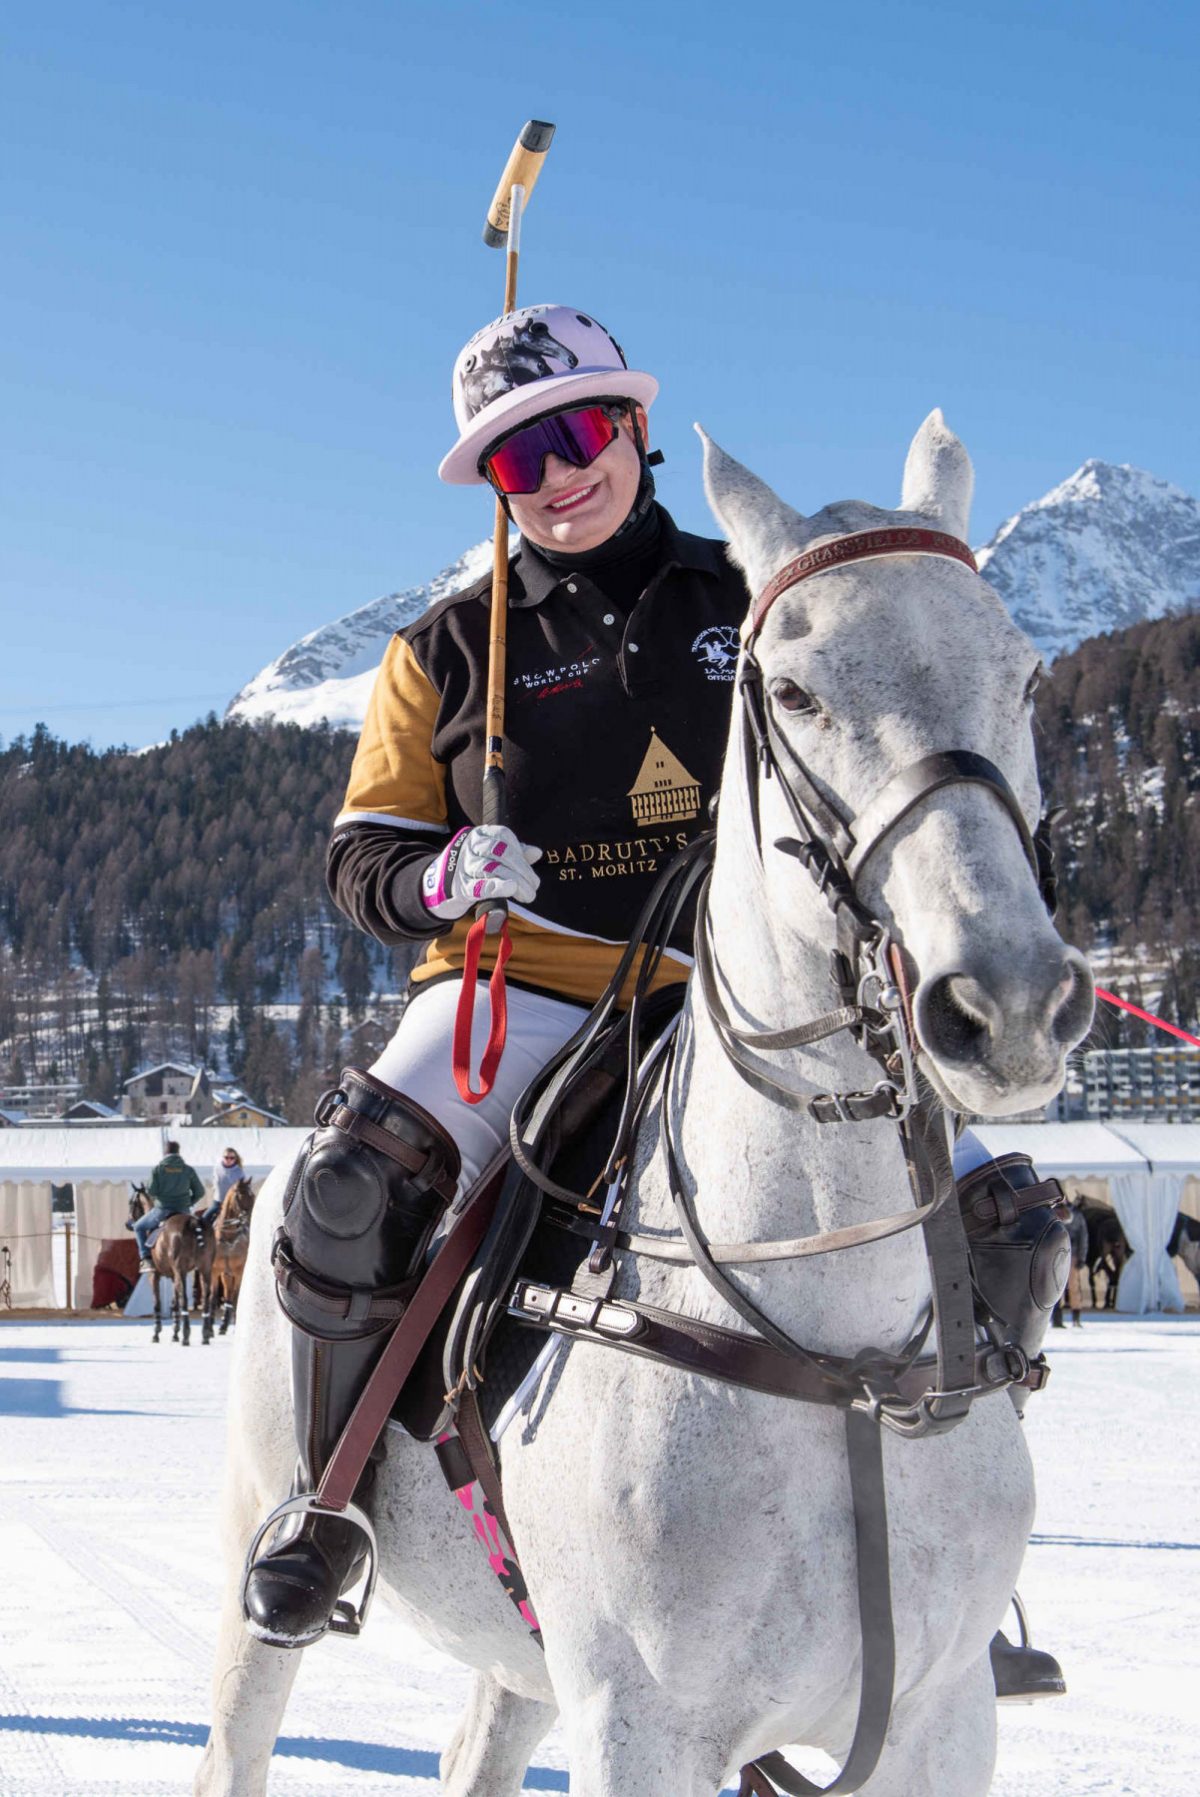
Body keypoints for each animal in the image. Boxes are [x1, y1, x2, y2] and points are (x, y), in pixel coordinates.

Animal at [130, 1178, 216, 1351]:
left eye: (131, 1203)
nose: (127, 1224)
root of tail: (194, 1221)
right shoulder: (172, 1275)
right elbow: (174, 1303)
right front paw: (175, 1333)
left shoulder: (154, 1275)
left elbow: (157, 1303)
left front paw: (156, 1333)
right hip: (205, 1270)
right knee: (205, 1297)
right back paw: (204, 1335)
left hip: (180, 1271)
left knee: (185, 1299)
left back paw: (186, 1336)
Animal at [211, 1178, 255, 1336]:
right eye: (240, 1196)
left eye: (253, 1196)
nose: (250, 1219)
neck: (229, 1238)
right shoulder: (215, 1271)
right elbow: (213, 1297)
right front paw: (208, 1329)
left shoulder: (238, 1271)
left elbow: (236, 1297)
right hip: (226, 1274)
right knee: (227, 1294)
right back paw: (223, 1325)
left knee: (232, 1296)